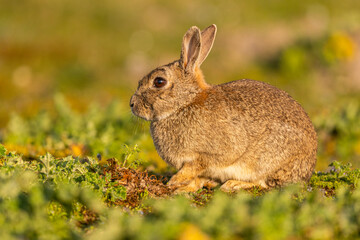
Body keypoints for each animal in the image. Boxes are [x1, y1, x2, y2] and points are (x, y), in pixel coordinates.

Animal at [131, 24, 316, 192]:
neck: (184, 103)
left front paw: (175, 181)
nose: (132, 104)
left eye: (159, 81)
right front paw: (184, 188)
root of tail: (308, 169)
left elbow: (197, 165)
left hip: (266, 161)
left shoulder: (214, 152)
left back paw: (233, 184)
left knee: (263, 183)